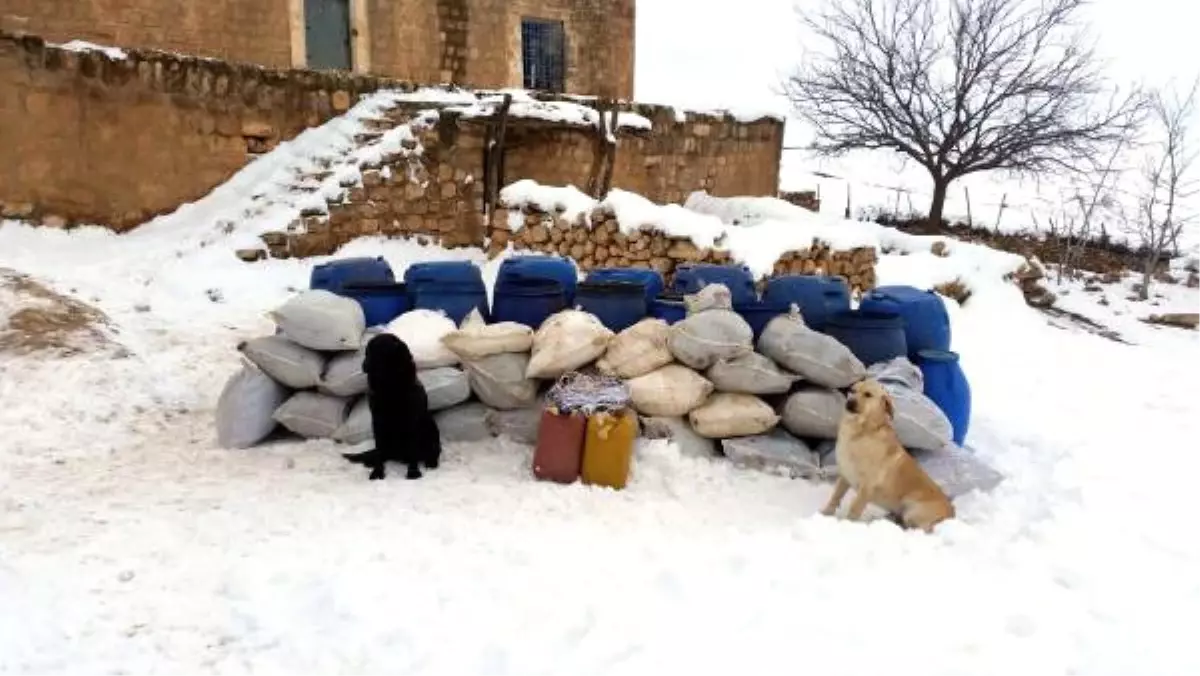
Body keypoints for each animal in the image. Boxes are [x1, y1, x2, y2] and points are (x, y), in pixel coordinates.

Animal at [343, 333, 441, 480]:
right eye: (367, 352)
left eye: (378, 352)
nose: (364, 365)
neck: (389, 385)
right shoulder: (377, 422)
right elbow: (379, 451)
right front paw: (377, 472)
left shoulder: (412, 421)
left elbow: (413, 449)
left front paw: (413, 472)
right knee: (381, 453)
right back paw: (370, 462)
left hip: (431, 427)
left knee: (433, 451)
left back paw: (431, 462)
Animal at [816, 381, 955, 535]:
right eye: (852, 391)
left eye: (868, 394)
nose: (849, 403)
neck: (862, 431)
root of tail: (951, 513)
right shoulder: (845, 476)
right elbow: (835, 497)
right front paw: (826, 514)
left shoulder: (866, 487)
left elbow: (854, 509)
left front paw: (847, 526)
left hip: (912, 511)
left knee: (917, 528)